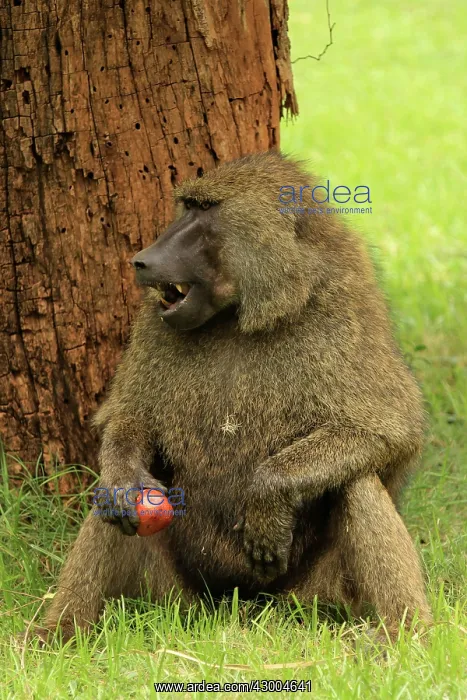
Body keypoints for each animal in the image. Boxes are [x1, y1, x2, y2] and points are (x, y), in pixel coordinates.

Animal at [41, 151, 431, 642]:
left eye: (206, 209)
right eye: (186, 206)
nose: (142, 261)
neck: (240, 315)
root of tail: (239, 604)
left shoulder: (349, 304)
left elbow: (387, 429)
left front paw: (266, 505)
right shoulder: (153, 322)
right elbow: (130, 419)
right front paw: (123, 479)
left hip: (313, 597)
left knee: (356, 483)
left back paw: (405, 634)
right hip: (173, 599)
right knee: (111, 506)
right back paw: (56, 636)